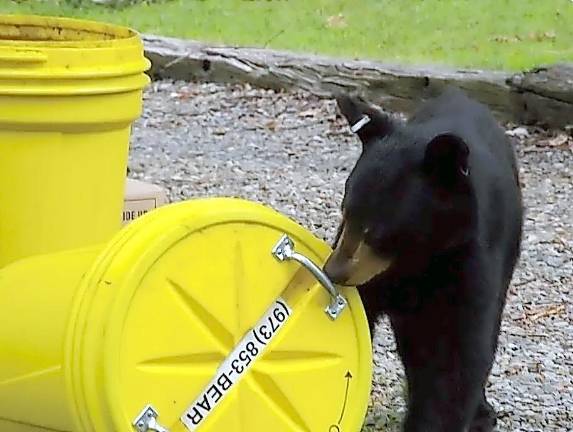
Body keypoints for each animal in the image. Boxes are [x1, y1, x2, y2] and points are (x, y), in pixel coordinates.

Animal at [322, 88, 524, 432]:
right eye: (345, 212)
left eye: (377, 229)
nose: (332, 271)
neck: (415, 259)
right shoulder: (374, 276)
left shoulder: (469, 260)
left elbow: (456, 360)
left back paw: (482, 412)